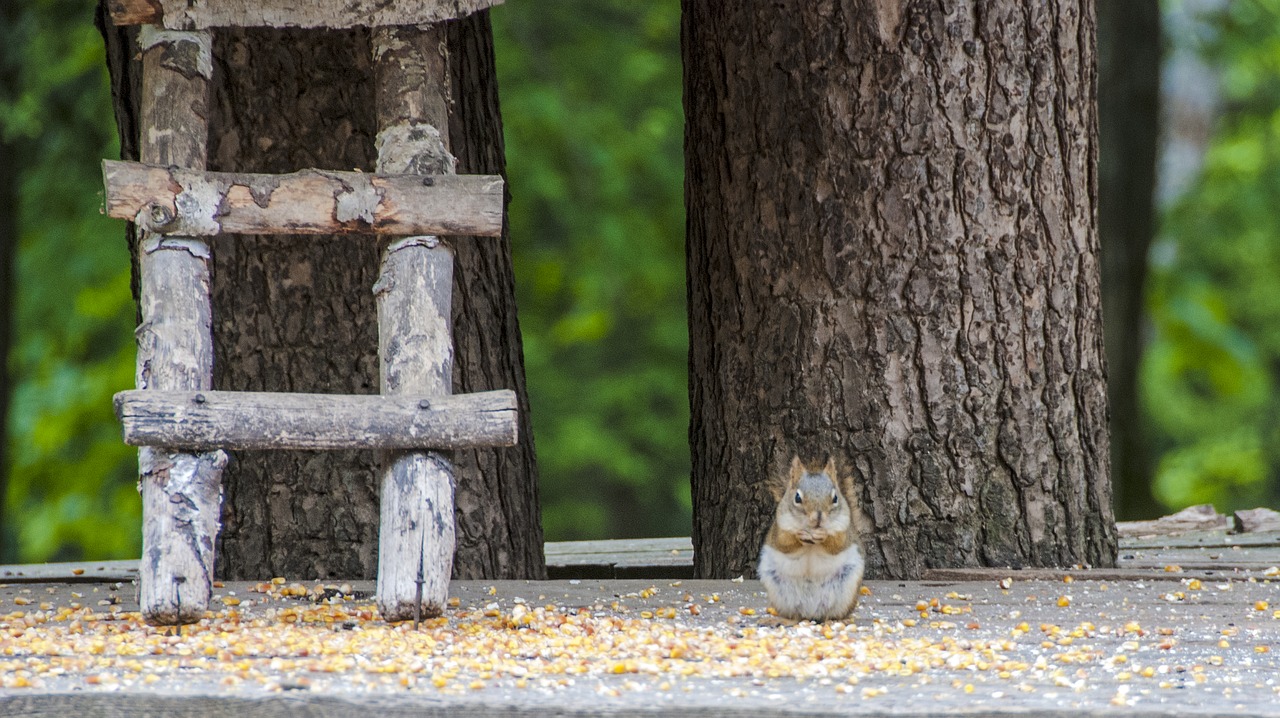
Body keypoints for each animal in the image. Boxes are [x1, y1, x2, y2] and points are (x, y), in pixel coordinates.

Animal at [752, 455, 865, 619]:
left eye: (835, 498)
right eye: (797, 498)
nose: (818, 517)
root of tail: (811, 612)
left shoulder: (845, 531)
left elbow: (837, 544)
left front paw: (823, 535)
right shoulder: (779, 528)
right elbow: (783, 542)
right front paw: (799, 535)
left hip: (846, 590)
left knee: (832, 613)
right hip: (779, 591)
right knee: (794, 614)